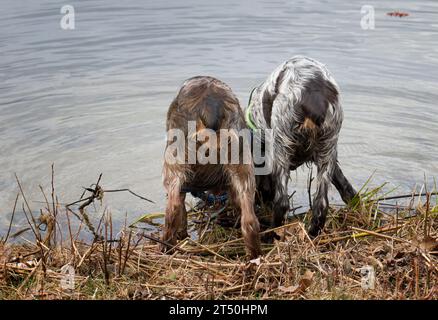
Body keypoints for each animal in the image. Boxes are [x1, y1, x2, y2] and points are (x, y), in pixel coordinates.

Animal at [163, 76, 262, 258]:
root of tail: (209, 107)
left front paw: (182, 236)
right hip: (241, 162)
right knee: (249, 220)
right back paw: (254, 256)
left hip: (173, 164)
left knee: (172, 209)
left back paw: (166, 249)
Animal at [245, 56, 358, 238]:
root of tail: (314, 98)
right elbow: (346, 188)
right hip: (328, 147)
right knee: (321, 205)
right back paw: (313, 234)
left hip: (281, 148)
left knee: (282, 203)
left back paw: (270, 235)